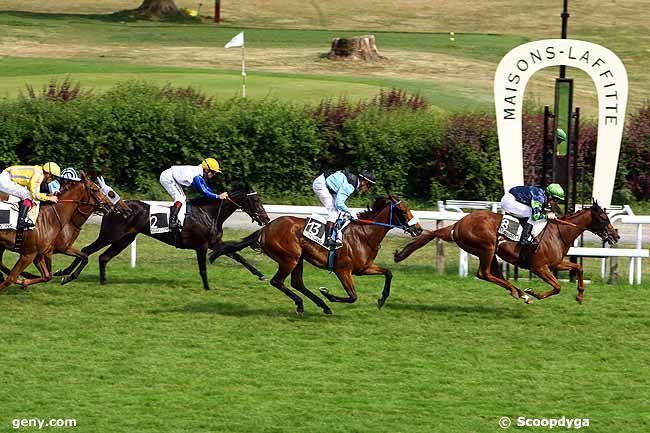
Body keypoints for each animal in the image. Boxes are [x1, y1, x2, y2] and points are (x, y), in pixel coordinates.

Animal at [55, 186, 268, 290]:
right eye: (255, 200)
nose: (266, 219)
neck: (209, 212)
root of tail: (112, 207)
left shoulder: (215, 243)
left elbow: (238, 256)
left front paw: (260, 274)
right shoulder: (201, 245)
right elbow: (203, 269)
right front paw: (207, 288)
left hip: (125, 239)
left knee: (103, 257)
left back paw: (103, 282)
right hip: (110, 235)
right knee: (86, 251)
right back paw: (67, 274)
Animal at [206, 195, 420, 314]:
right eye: (402, 211)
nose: (418, 229)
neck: (364, 235)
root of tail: (265, 229)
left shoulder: (363, 268)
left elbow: (388, 273)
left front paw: (382, 300)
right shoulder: (343, 270)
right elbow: (352, 296)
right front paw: (328, 293)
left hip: (298, 258)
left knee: (296, 283)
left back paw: (321, 305)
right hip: (289, 258)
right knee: (278, 281)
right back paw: (305, 304)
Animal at [392, 200, 616, 304]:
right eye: (603, 218)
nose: (615, 236)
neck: (559, 233)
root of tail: (456, 225)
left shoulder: (555, 263)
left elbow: (577, 267)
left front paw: (580, 295)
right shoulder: (539, 267)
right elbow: (558, 286)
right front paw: (534, 292)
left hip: (490, 253)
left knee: (494, 274)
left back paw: (518, 292)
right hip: (487, 247)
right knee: (484, 273)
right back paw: (520, 293)